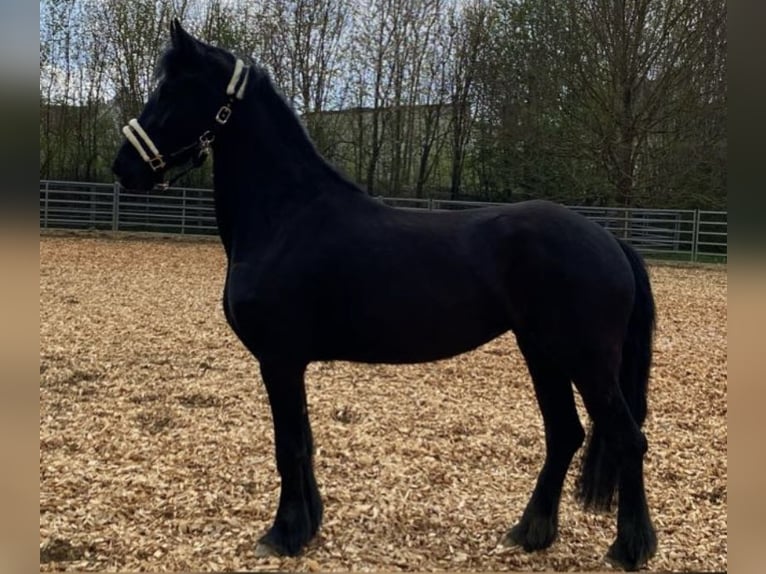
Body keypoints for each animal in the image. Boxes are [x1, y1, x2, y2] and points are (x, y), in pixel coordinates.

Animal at [112, 20, 657, 571]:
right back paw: (531, 532)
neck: (286, 217)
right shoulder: (290, 362)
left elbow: (288, 445)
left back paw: (630, 547)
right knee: (565, 433)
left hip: (585, 359)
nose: (123, 167)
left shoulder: (278, 359)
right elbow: (304, 441)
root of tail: (610, 240)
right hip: (542, 352)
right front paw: (307, 525)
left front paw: (283, 534)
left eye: (171, 90)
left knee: (627, 439)